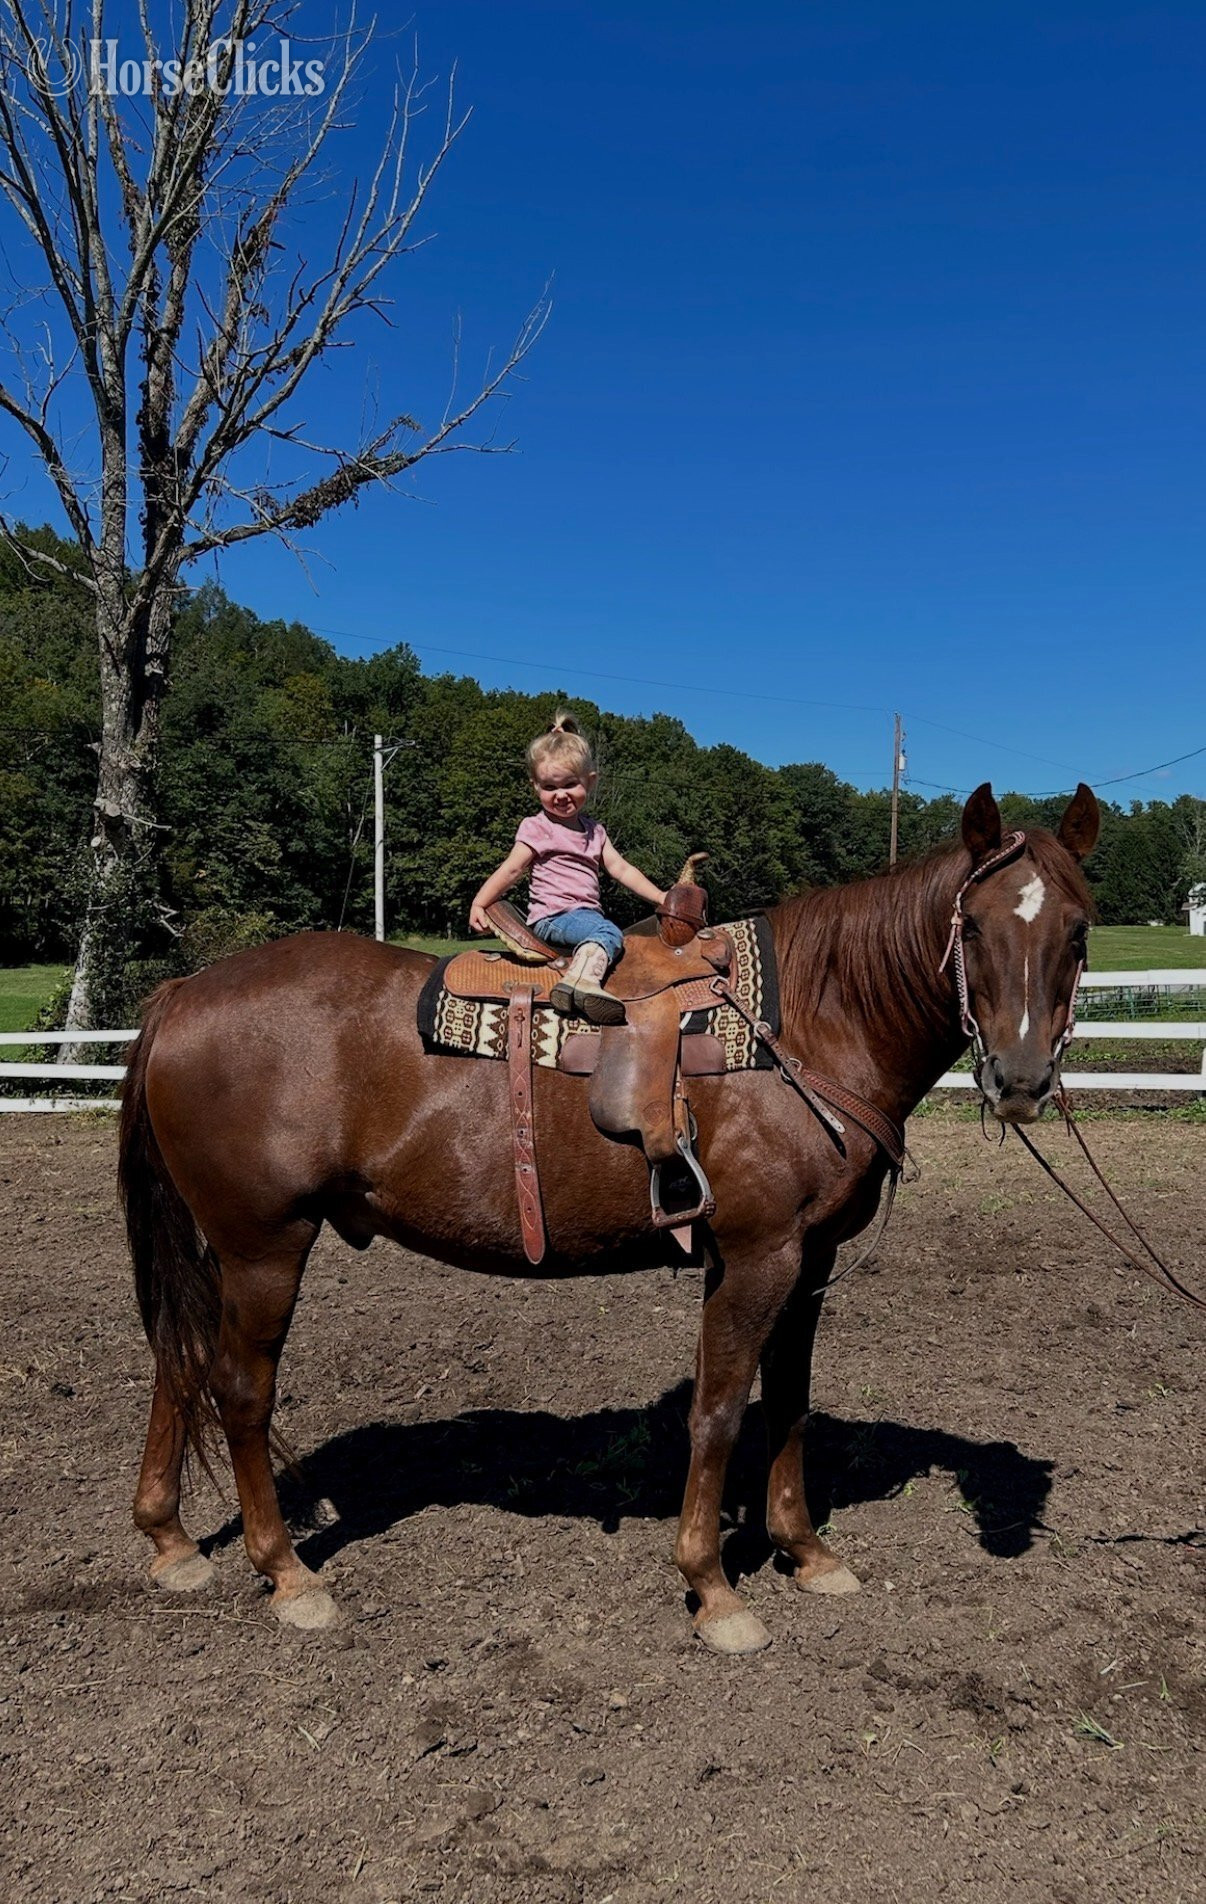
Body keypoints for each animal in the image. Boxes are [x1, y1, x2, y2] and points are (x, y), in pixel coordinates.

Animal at [118, 780, 1099, 1652]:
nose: (1019, 1080)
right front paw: (713, 1588)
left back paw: (170, 1540)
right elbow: (719, 1411)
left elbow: (788, 1403)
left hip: (221, 1249)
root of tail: (183, 993)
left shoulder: (809, 1261)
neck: (807, 1026)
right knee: (239, 1388)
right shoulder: (757, 1256)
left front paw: (806, 1551)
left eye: (1078, 928)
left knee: (181, 1359)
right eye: (973, 926)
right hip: (264, 1244)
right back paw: (287, 1574)